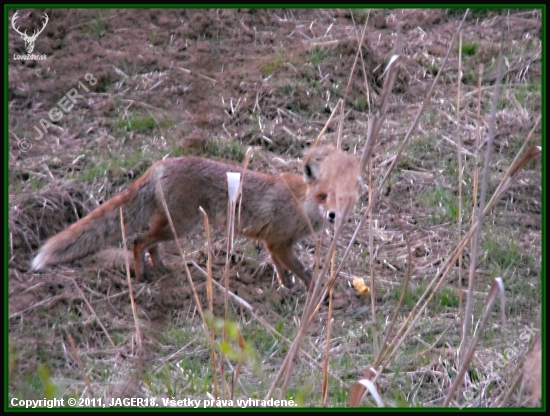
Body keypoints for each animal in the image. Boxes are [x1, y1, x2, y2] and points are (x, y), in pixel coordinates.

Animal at [32, 146, 364, 290]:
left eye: (342, 199)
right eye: (323, 197)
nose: (333, 215)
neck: (300, 204)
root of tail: (160, 165)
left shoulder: (275, 244)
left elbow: (283, 271)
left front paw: (286, 289)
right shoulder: (279, 242)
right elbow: (301, 270)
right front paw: (315, 291)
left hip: (173, 226)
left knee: (150, 244)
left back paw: (162, 270)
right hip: (179, 226)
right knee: (138, 241)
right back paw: (140, 278)